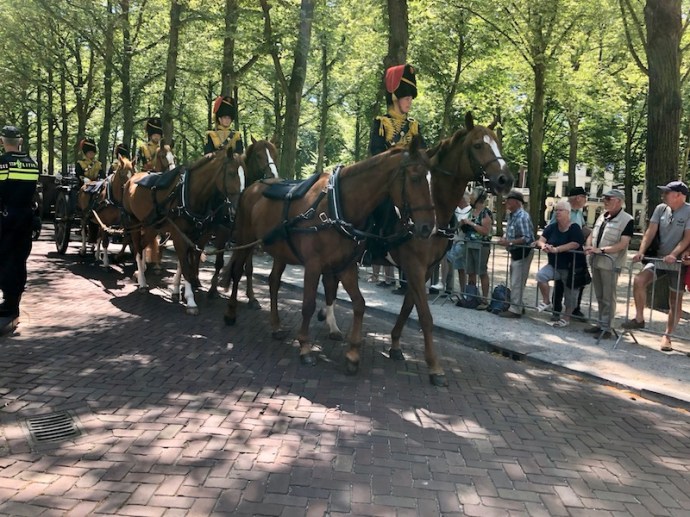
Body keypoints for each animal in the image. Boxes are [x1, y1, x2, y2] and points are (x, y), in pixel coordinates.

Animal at [122, 145, 245, 314]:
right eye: (232, 173)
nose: (238, 208)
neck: (189, 193)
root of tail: (132, 179)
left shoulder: (193, 236)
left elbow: (185, 264)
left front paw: (179, 292)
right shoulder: (179, 235)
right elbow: (185, 266)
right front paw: (191, 300)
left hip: (152, 226)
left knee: (142, 244)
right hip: (134, 222)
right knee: (138, 249)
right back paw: (142, 282)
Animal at [219, 135, 436, 370]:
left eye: (432, 179)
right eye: (415, 177)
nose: (428, 227)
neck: (338, 206)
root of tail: (253, 187)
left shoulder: (346, 266)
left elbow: (359, 304)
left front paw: (352, 353)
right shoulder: (314, 265)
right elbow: (308, 304)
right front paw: (305, 347)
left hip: (280, 251)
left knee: (273, 281)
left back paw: (276, 326)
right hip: (245, 240)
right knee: (238, 271)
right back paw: (230, 313)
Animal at [319, 112, 514, 386]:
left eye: (498, 143)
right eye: (478, 145)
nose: (506, 180)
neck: (435, 208)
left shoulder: (425, 268)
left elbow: (408, 307)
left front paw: (395, 345)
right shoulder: (414, 266)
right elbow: (425, 316)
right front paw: (434, 367)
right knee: (329, 283)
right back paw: (332, 325)